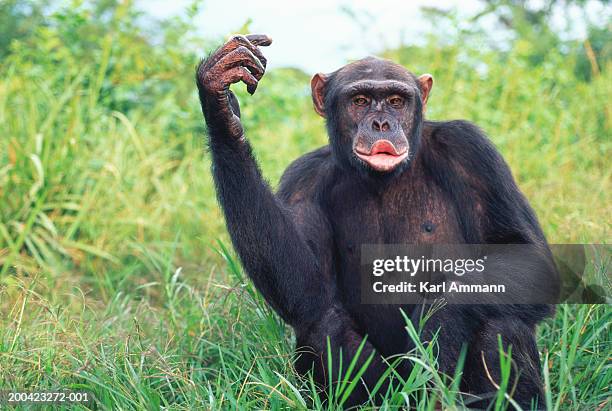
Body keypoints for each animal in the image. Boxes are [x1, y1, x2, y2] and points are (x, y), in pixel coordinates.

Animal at [195, 34, 556, 408]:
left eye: (396, 101)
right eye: (360, 100)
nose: (381, 123)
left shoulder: (472, 151)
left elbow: (525, 255)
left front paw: (439, 321)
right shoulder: (302, 179)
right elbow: (306, 286)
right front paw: (221, 106)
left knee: (502, 323)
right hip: (384, 393)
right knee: (323, 324)